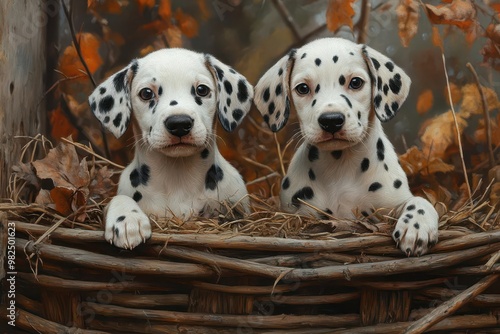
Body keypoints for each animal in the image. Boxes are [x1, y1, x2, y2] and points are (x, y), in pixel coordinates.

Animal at [88, 48, 252, 249]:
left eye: (202, 90)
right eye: (146, 93)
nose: (179, 124)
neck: (178, 178)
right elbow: (117, 199)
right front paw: (127, 220)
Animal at [254, 37, 438, 256]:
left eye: (356, 82)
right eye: (303, 88)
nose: (331, 120)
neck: (340, 166)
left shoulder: (392, 203)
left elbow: (420, 201)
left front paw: (416, 227)